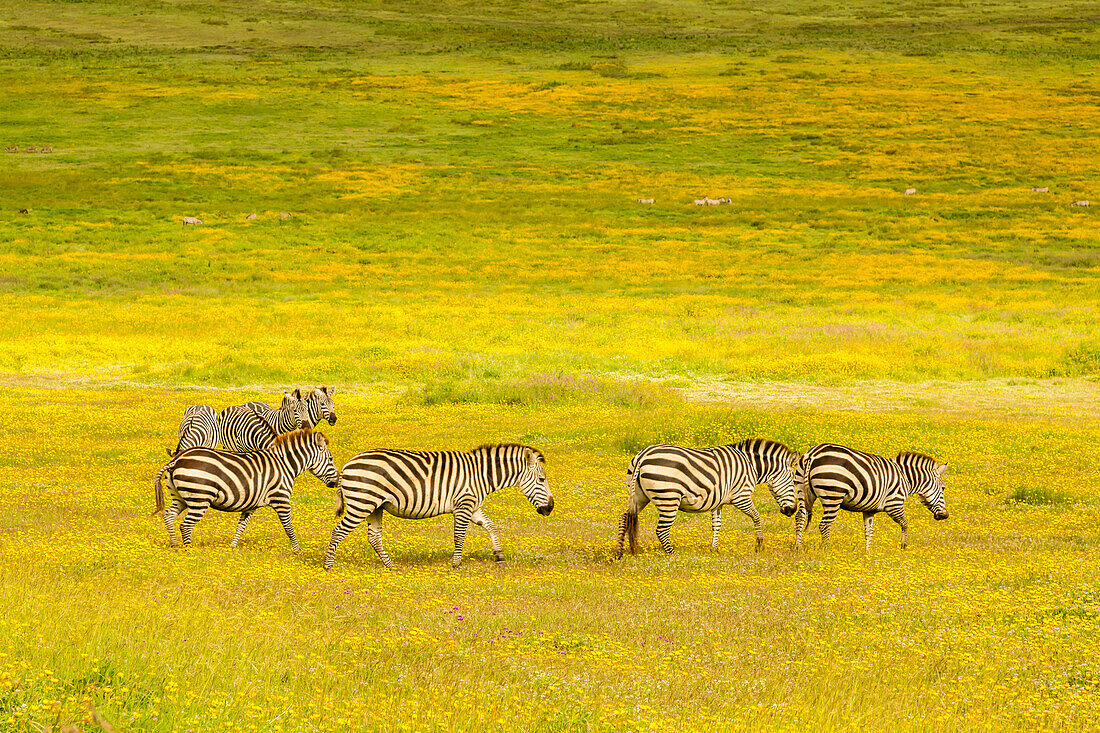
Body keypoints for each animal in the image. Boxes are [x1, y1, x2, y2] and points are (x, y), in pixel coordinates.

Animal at [152, 429, 336, 548]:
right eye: (330, 459)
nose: (336, 483)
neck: (285, 465)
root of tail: (177, 459)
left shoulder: (251, 504)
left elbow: (241, 526)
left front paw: (232, 547)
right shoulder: (281, 500)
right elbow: (288, 527)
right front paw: (297, 550)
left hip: (181, 497)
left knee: (169, 515)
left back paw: (174, 545)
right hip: (200, 497)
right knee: (186, 525)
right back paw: (188, 551)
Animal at [321, 442, 554, 567]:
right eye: (542, 480)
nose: (550, 508)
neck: (480, 475)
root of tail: (348, 465)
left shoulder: (473, 506)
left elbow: (491, 526)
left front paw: (499, 556)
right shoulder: (463, 505)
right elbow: (459, 536)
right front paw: (456, 564)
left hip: (375, 506)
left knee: (374, 537)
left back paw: (391, 566)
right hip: (361, 504)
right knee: (338, 531)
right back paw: (328, 566)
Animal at [611, 435, 800, 556]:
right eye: (793, 481)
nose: (792, 511)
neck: (751, 466)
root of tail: (643, 456)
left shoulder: (718, 501)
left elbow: (717, 525)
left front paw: (714, 549)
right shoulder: (742, 496)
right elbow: (756, 516)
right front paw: (759, 544)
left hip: (638, 496)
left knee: (624, 518)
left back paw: (619, 552)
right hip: (669, 498)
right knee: (662, 529)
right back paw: (673, 554)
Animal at [796, 442, 950, 550]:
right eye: (943, 488)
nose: (945, 515)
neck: (905, 478)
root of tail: (813, 454)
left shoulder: (869, 510)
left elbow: (869, 531)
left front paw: (868, 554)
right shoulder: (894, 504)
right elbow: (905, 524)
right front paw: (903, 546)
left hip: (803, 492)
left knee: (800, 517)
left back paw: (797, 547)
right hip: (833, 496)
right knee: (825, 525)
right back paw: (827, 550)